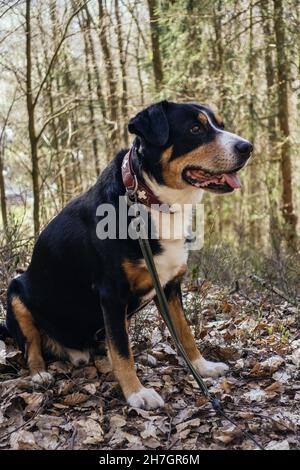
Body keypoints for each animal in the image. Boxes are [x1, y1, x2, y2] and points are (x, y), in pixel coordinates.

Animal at [5, 101, 253, 410]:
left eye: (220, 124)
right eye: (195, 128)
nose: (247, 147)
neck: (153, 202)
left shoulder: (170, 287)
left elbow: (184, 332)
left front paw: (202, 366)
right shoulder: (111, 293)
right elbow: (123, 350)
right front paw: (136, 393)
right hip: (16, 292)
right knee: (32, 344)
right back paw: (39, 373)